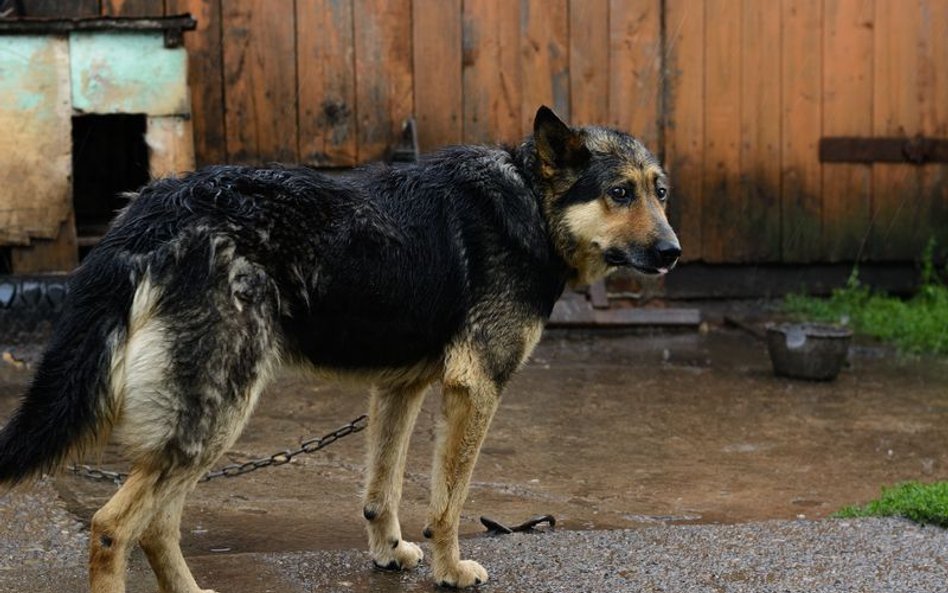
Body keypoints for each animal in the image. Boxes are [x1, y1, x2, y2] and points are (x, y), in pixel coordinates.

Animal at [0, 107, 680, 592]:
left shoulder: (398, 388)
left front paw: (389, 554)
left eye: (661, 193)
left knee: (157, 526)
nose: (673, 253)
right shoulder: (474, 387)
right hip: (216, 412)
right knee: (114, 528)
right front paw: (451, 571)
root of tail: (150, 211)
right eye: (619, 192)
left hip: (203, 422)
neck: (532, 204)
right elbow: (448, 501)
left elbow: (382, 490)